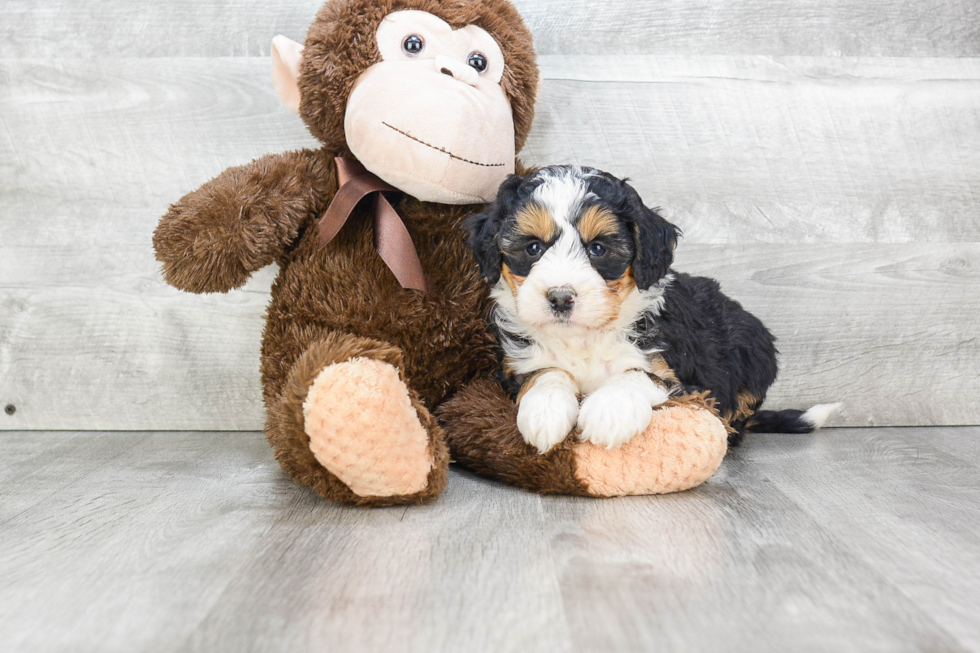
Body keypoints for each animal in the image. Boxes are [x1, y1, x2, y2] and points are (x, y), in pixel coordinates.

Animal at [464, 164, 840, 454]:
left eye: (598, 248)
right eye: (533, 248)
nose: (560, 297)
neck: (586, 336)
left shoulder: (687, 380)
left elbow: (639, 375)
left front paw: (608, 413)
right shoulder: (514, 367)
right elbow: (545, 372)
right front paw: (545, 411)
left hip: (752, 346)